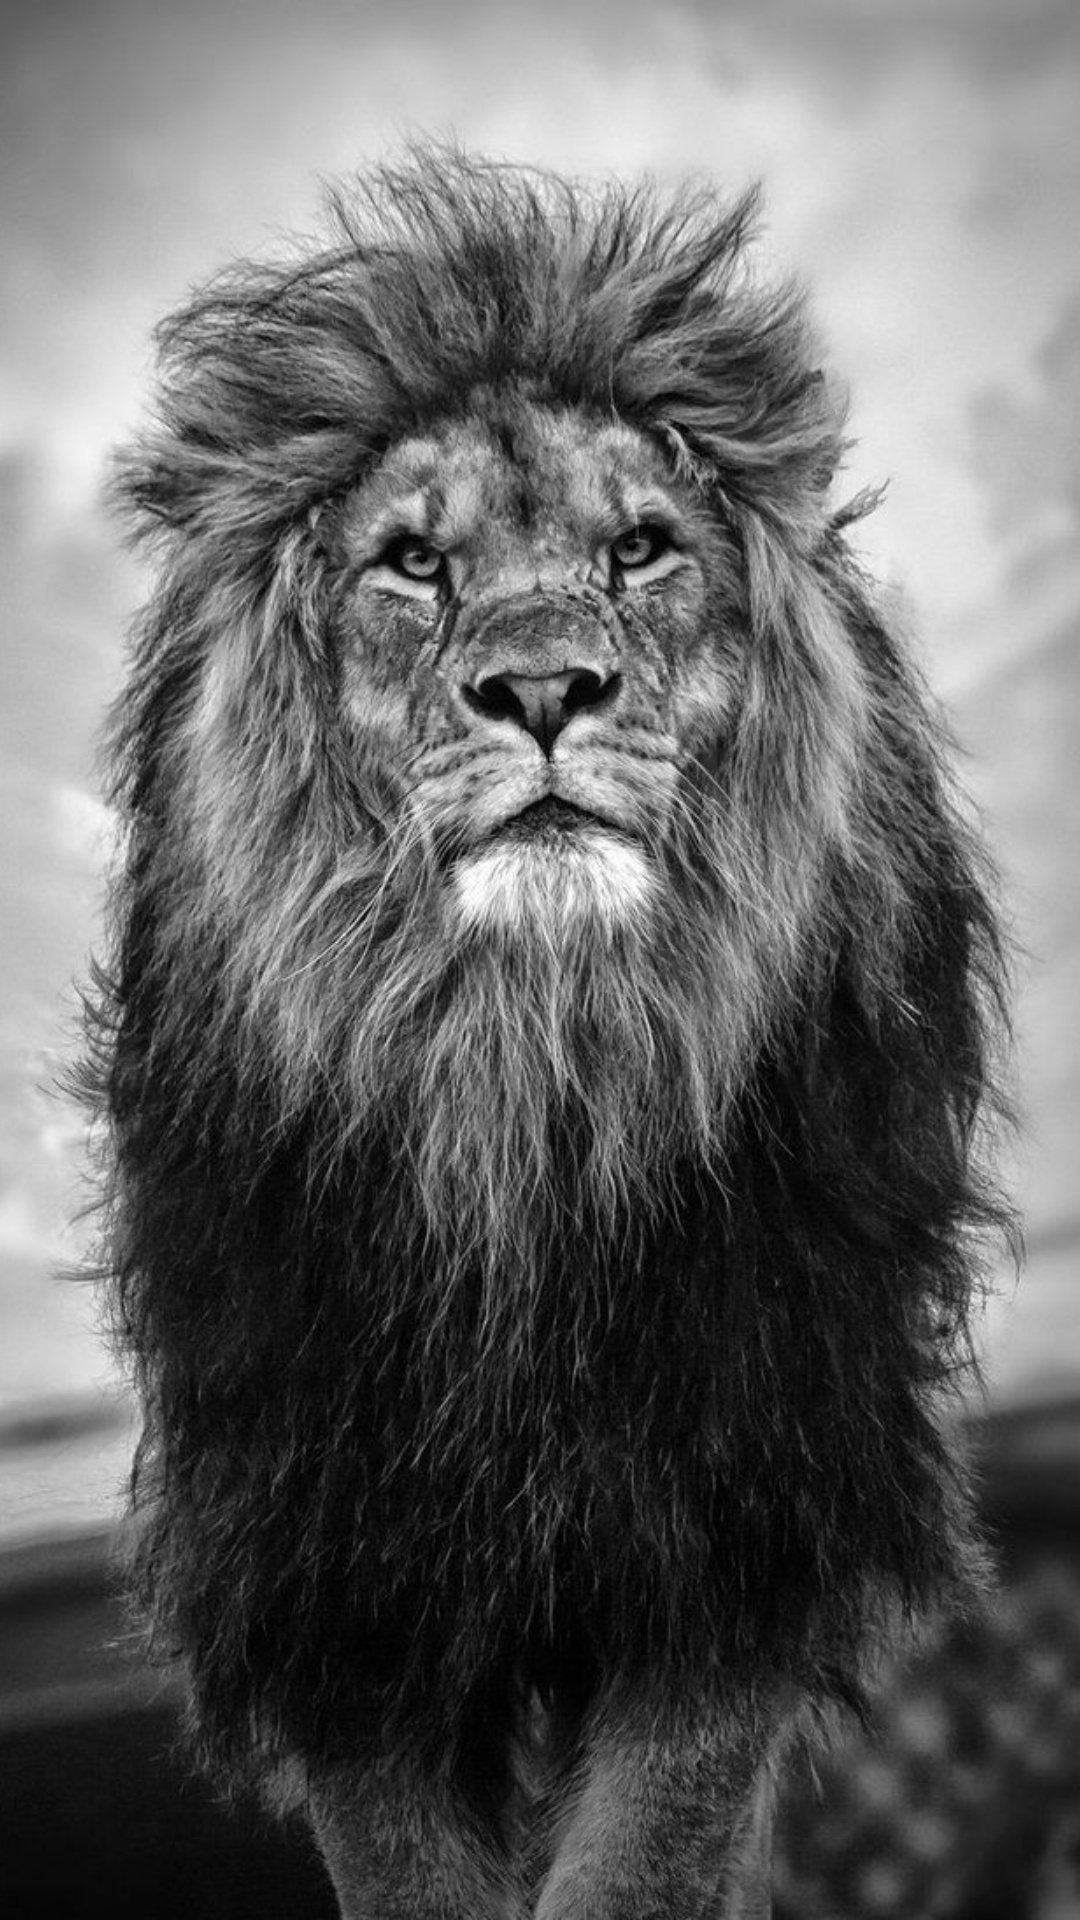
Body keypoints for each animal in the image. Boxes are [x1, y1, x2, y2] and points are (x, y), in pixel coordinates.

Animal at [85, 151, 1011, 1917]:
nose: (542, 692)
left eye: (642, 548)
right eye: (412, 563)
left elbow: (650, 1858)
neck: (526, 1072)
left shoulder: (740, 1511)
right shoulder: (332, 1560)